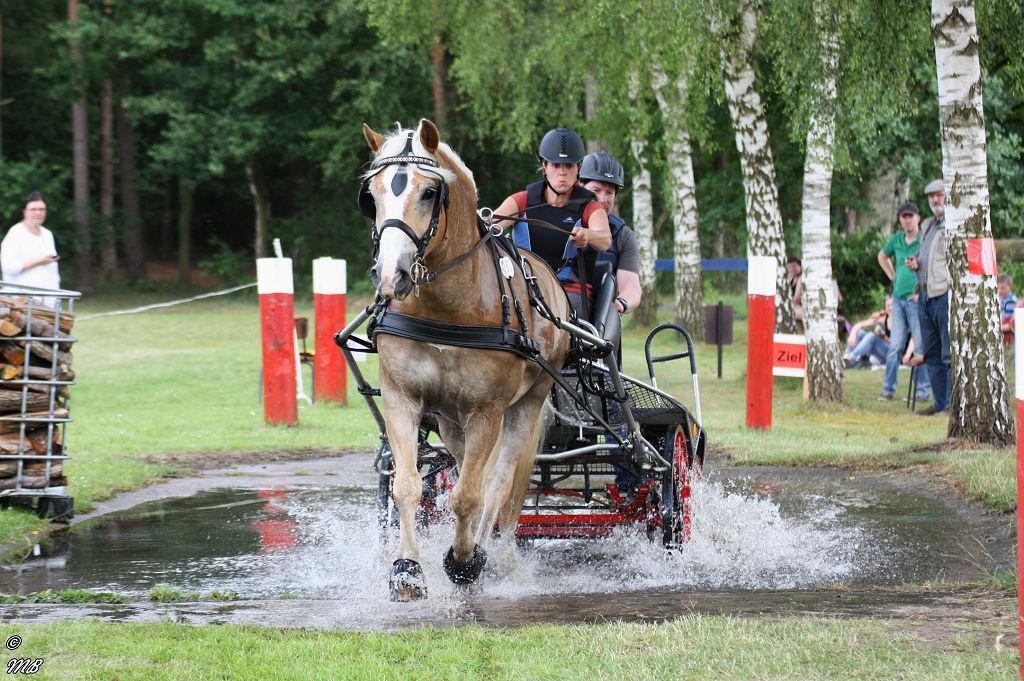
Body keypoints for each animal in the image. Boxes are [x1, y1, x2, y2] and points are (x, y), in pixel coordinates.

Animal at [360, 119, 571, 601]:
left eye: (428, 193)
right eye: (372, 196)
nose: (391, 276)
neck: (446, 305)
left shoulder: (487, 411)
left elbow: (471, 494)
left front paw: (464, 561)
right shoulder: (402, 399)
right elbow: (407, 485)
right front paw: (406, 568)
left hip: (527, 402)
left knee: (498, 481)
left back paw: (487, 552)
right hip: (451, 419)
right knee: (463, 471)